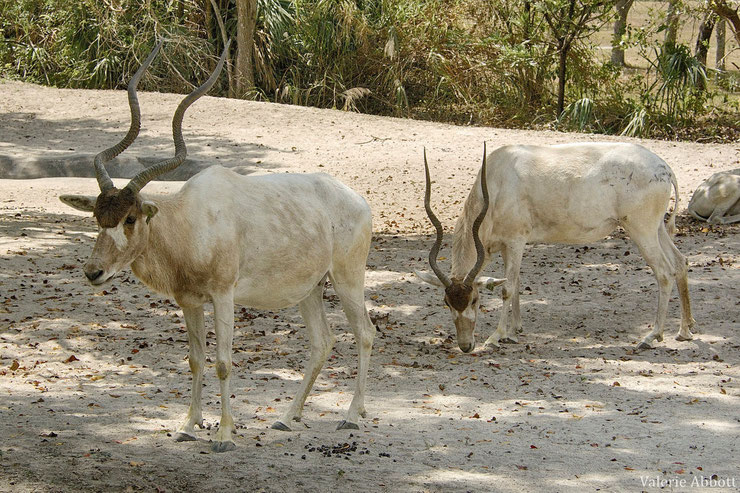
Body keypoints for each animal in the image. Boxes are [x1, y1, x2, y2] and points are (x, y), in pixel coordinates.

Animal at [59, 40, 376, 452]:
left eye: (130, 218)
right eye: (98, 218)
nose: (93, 272)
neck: (187, 222)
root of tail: (356, 198)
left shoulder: (224, 296)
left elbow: (224, 361)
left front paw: (224, 434)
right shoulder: (190, 301)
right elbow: (196, 359)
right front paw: (187, 425)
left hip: (347, 277)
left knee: (364, 332)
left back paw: (351, 416)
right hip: (310, 288)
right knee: (322, 341)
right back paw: (286, 418)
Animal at [420, 141, 696, 350]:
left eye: (475, 300)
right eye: (447, 302)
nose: (466, 345)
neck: (496, 184)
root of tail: (664, 168)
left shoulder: (516, 241)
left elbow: (507, 288)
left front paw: (496, 336)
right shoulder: (507, 246)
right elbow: (516, 283)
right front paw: (515, 331)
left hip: (641, 229)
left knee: (664, 272)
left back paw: (652, 336)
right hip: (657, 228)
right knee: (680, 262)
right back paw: (684, 331)